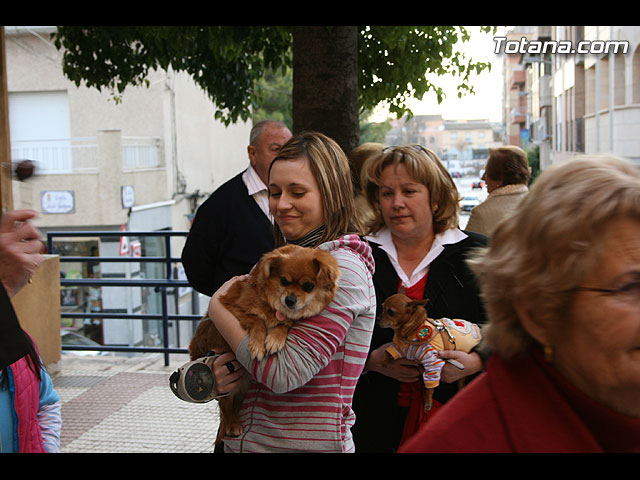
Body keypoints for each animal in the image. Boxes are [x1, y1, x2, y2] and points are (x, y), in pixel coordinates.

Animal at [189, 244, 341, 442]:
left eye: (308, 286)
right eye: (284, 281)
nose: (290, 300)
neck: (273, 305)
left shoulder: (285, 320)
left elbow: (283, 325)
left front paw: (275, 339)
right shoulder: (229, 306)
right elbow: (257, 320)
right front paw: (258, 344)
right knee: (225, 403)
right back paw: (232, 424)